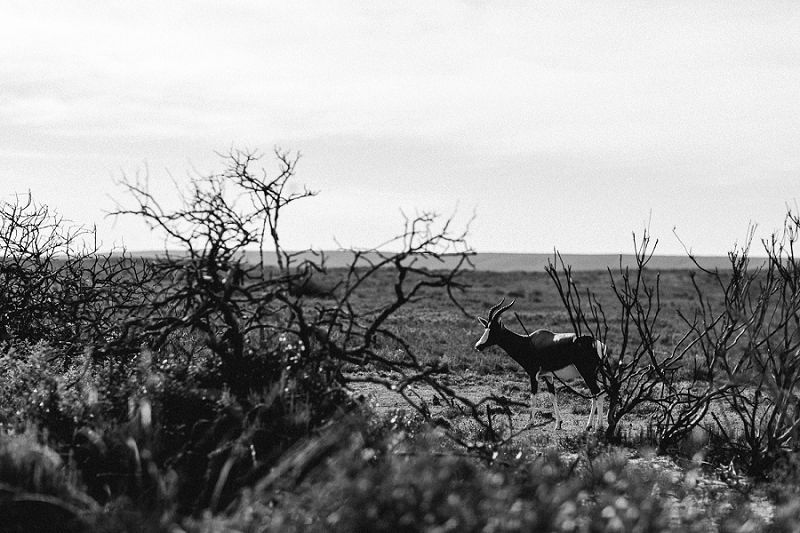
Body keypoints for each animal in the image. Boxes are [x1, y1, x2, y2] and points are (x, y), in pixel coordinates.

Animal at [476, 298, 608, 430]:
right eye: (486, 328)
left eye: (493, 329)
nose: (478, 346)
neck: (528, 341)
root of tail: (597, 343)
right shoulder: (547, 375)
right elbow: (552, 396)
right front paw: (558, 424)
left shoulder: (533, 373)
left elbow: (533, 396)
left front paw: (529, 423)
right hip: (592, 374)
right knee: (597, 394)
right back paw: (592, 425)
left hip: (586, 373)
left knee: (597, 393)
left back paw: (596, 426)